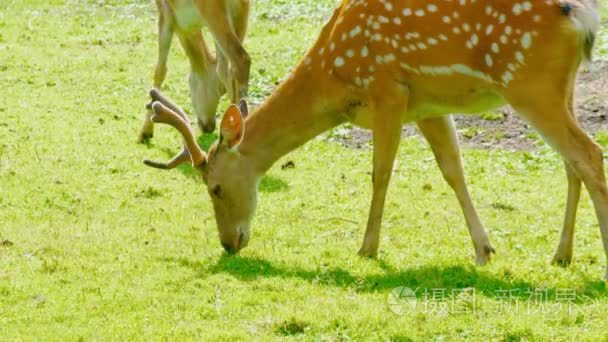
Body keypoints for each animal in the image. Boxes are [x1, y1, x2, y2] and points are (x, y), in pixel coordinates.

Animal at [137, 0, 249, 142]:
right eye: (222, 89)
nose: (209, 127)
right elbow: (222, 69)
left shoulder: (165, 13)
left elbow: (160, 70)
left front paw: (145, 133)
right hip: (241, 12)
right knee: (229, 67)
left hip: (212, 11)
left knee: (241, 59)